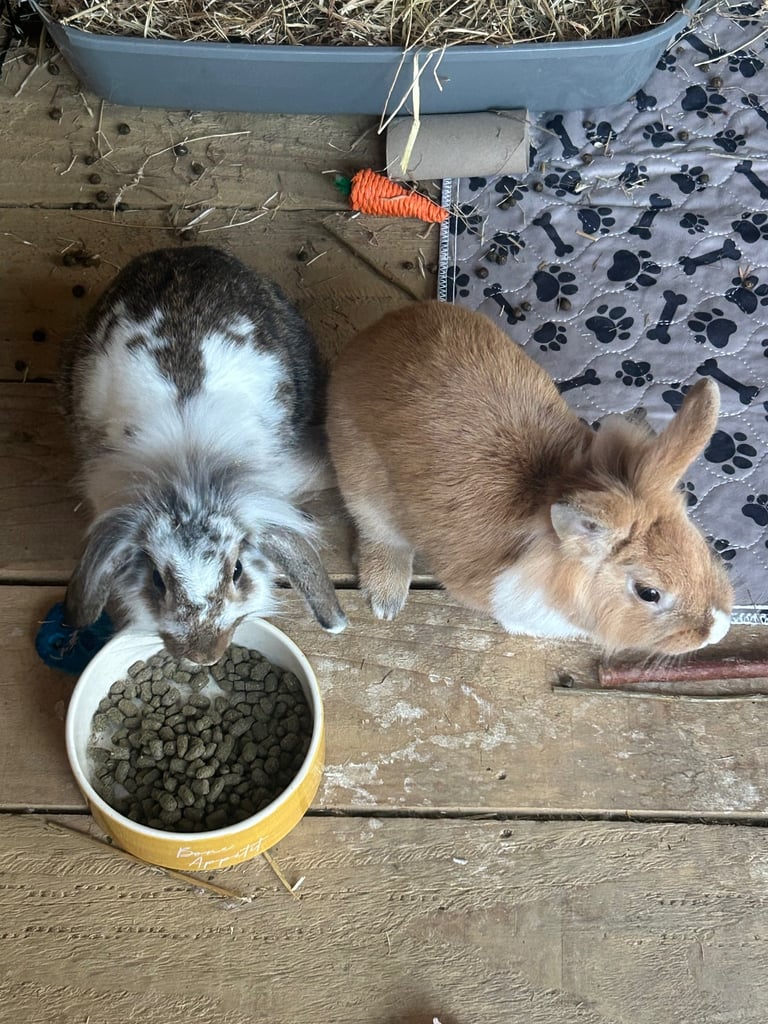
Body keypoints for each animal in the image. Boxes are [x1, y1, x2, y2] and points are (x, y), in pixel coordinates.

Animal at [326, 300, 734, 657]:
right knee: (380, 535)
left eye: (701, 546)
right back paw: (386, 599)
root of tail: (368, 338)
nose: (717, 631)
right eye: (649, 593)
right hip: (363, 485)